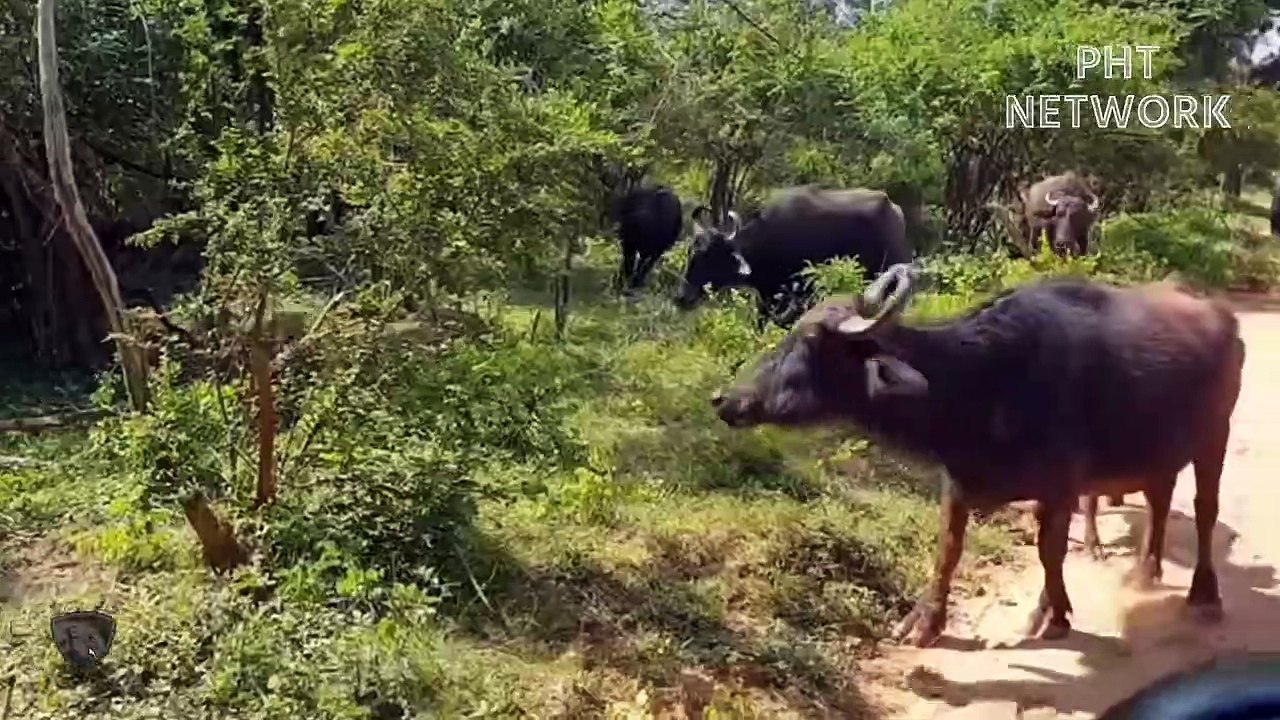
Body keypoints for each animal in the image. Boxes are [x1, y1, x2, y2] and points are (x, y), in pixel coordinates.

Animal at [709, 264, 1243, 647]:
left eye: (810, 340)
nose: (724, 399)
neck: (984, 380)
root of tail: (1223, 318)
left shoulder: (1061, 486)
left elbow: (1049, 551)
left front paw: (1052, 614)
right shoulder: (959, 481)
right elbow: (948, 550)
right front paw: (923, 623)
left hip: (1214, 437)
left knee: (1203, 510)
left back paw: (1205, 594)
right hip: (1160, 450)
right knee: (1159, 499)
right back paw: (1146, 571)